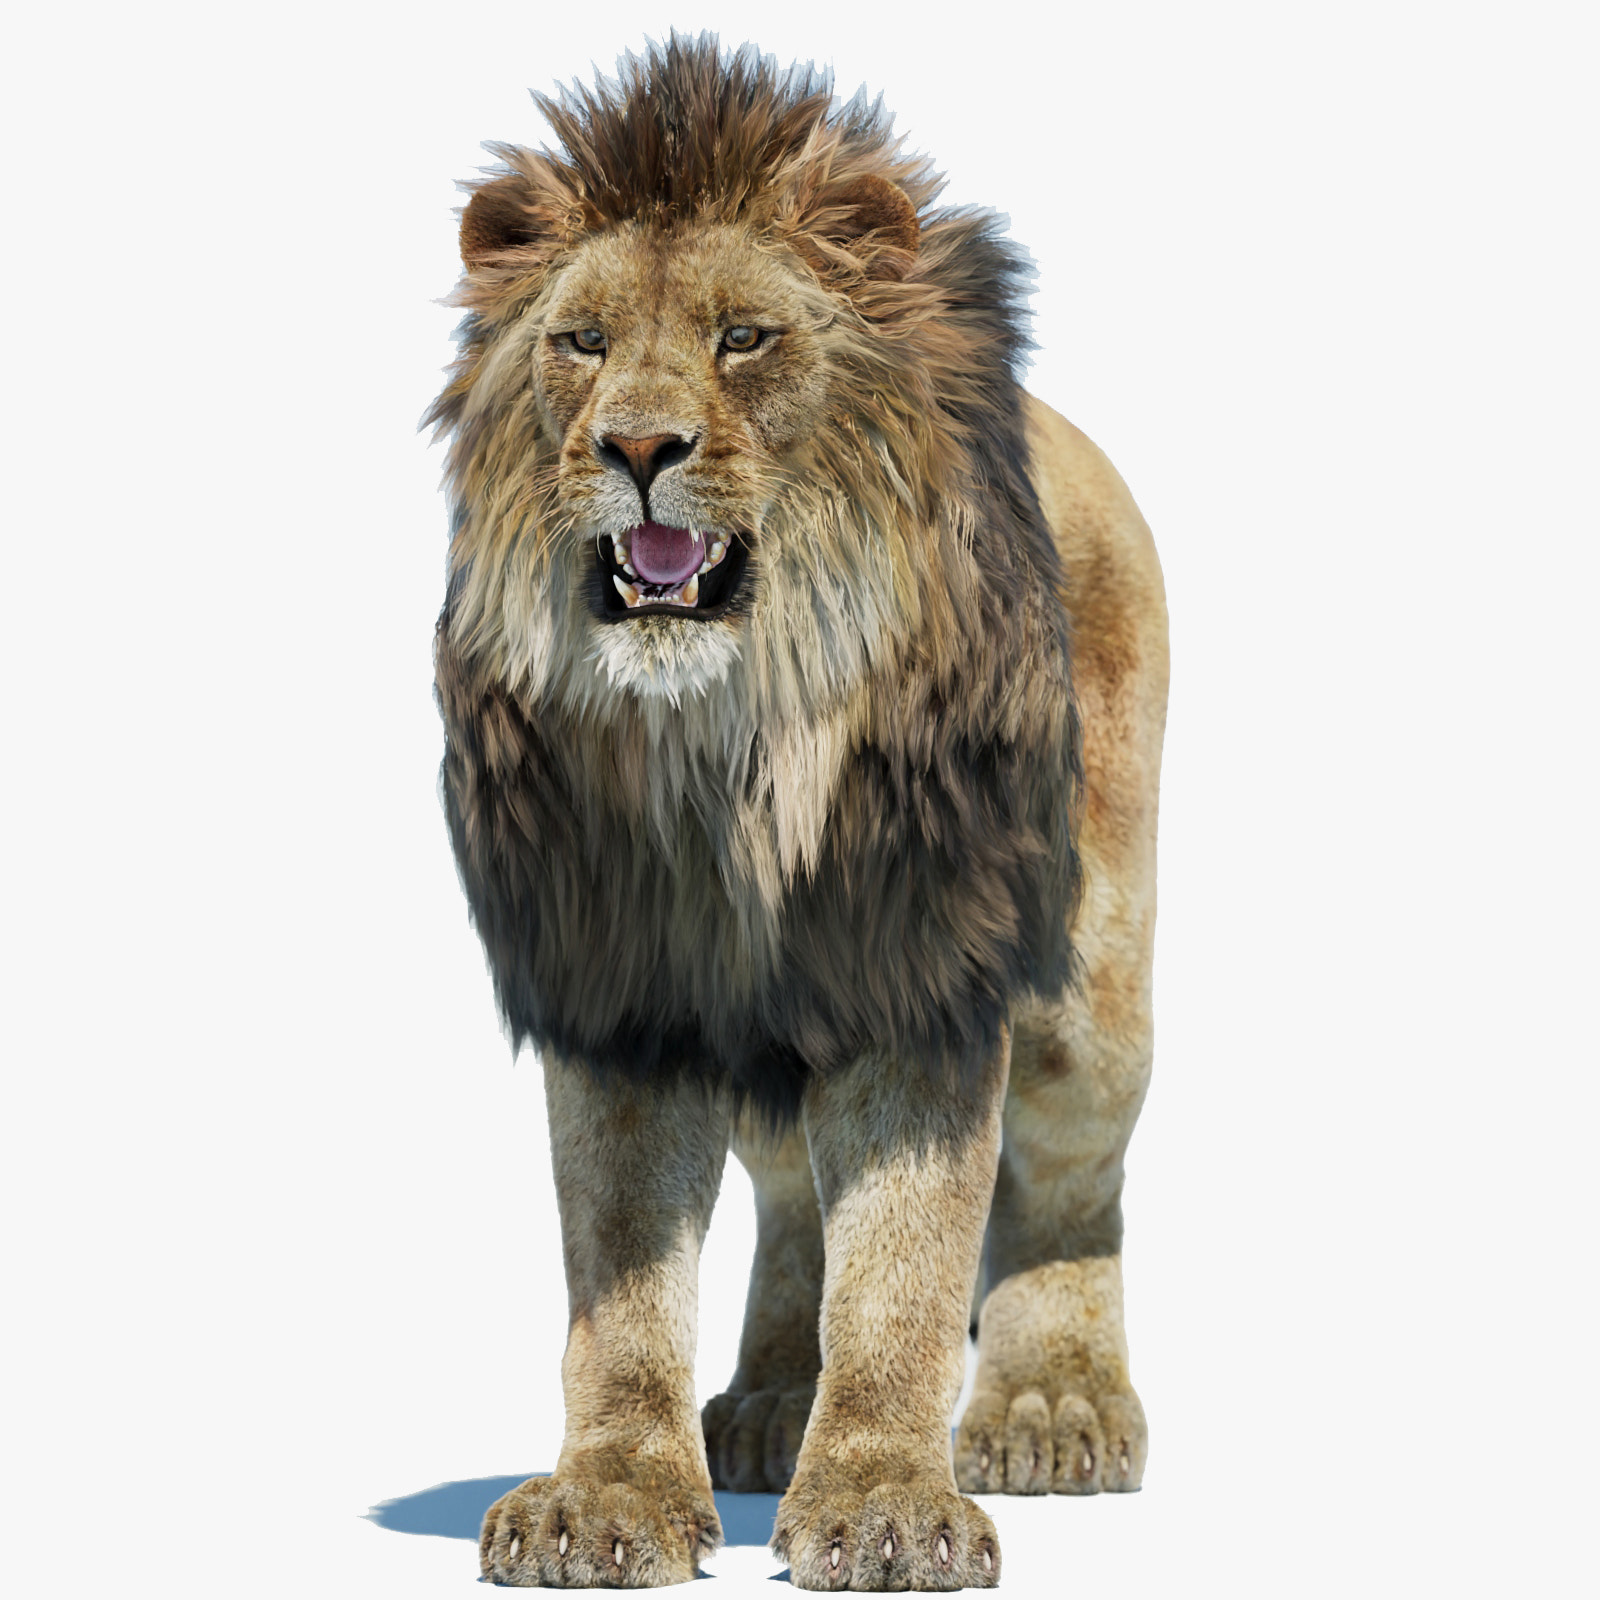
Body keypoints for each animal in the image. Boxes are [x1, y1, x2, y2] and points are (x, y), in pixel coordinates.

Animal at [428, 35, 1167, 1591]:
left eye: (742, 339)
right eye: (581, 344)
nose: (639, 446)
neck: (727, 743)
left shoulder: (923, 967)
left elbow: (907, 1267)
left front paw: (886, 1502)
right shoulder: (616, 986)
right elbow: (622, 1277)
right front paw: (609, 1497)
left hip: (1093, 991)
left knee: (1071, 1183)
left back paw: (1052, 1407)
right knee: (786, 1193)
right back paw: (770, 1402)